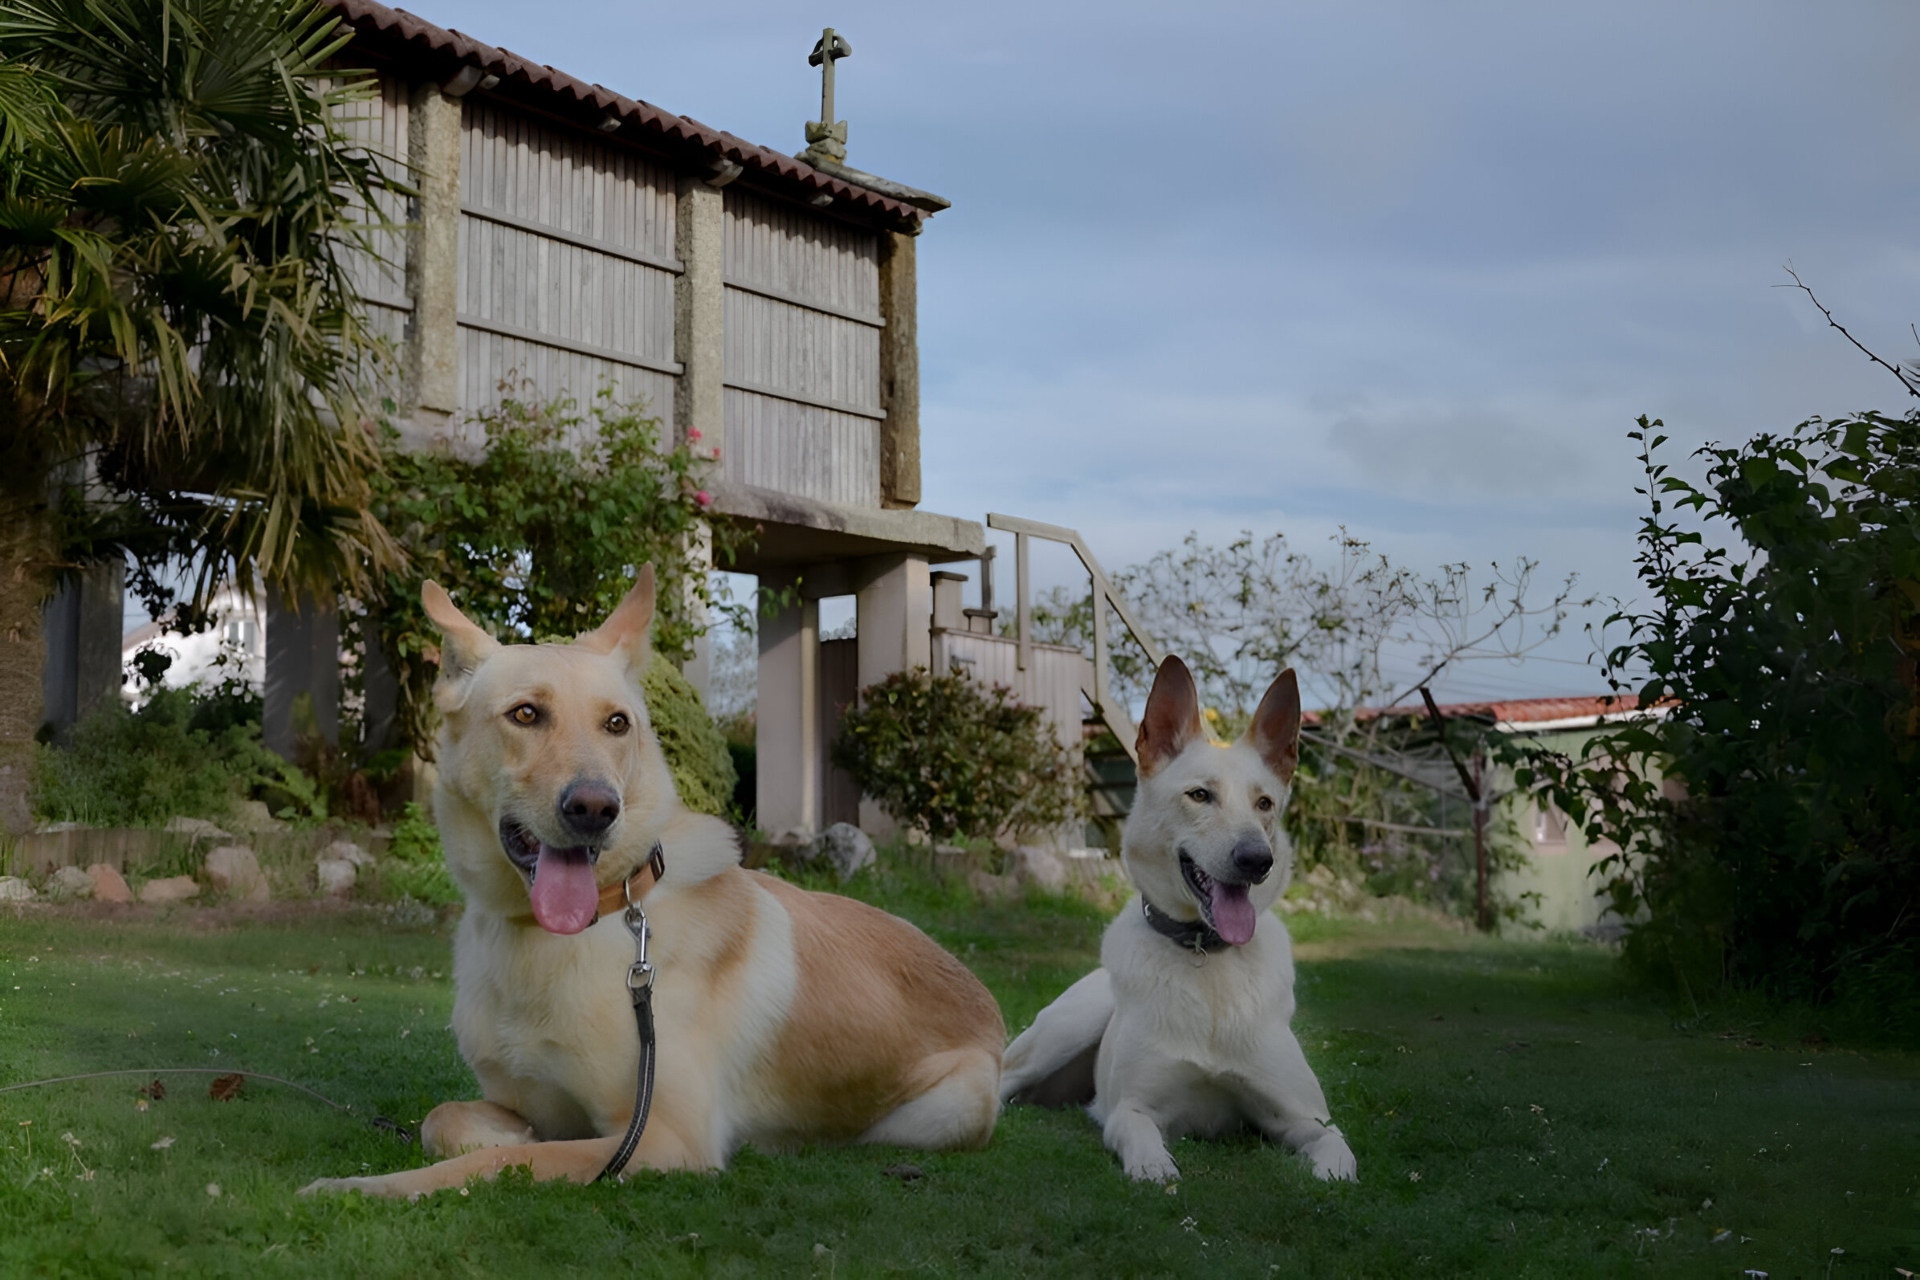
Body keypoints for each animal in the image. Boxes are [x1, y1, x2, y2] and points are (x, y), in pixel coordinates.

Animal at [303, 571, 1006, 1205]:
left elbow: (493, 1163)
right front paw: (501, 1135)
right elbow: (447, 1121)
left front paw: (362, 1186)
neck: (575, 927)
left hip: (936, 1115)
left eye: (618, 724)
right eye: (525, 714)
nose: (595, 808)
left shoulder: (661, 1137)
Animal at [998, 656, 1359, 1189]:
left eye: (1265, 804)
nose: (1258, 860)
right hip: (1066, 1027)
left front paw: (1330, 1173)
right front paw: (1156, 1168)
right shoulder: (1130, 1110)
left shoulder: (1306, 1117)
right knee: (1000, 1081)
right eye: (1200, 795)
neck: (1206, 954)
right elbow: (1144, 1143)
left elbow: (1338, 1152)